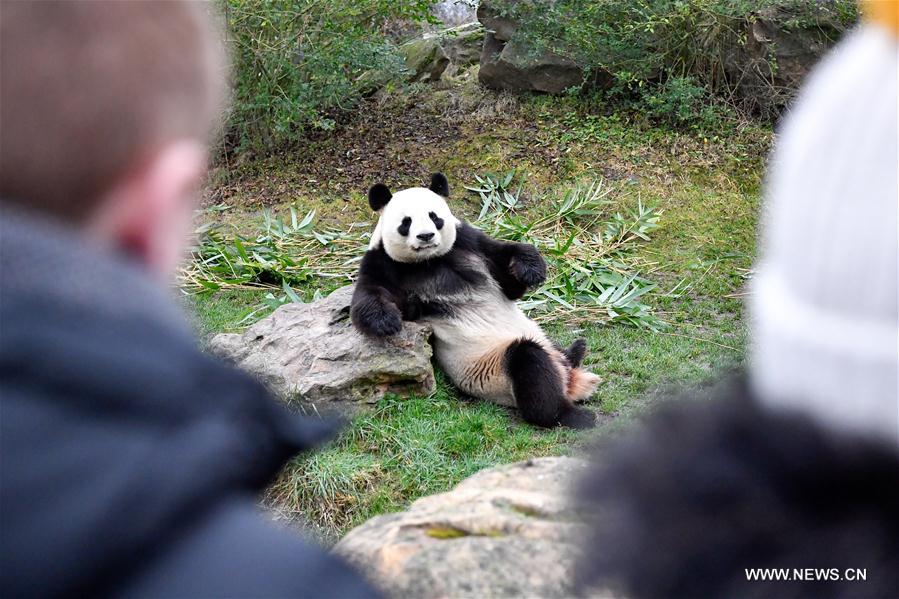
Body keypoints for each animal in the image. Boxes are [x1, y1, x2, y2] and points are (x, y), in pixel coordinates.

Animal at [350, 173, 596, 432]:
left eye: (434, 217)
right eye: (406, 222)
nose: (426, 236)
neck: (430, 260)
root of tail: (567, 376)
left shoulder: (469, 243)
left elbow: (507, 271)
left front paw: (531, 269)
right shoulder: (385, 265)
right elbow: (368, 297)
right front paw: (386, 321)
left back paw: (575, 350)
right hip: (495, 373)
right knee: (529, 365)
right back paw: (569, 415)